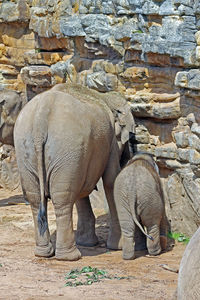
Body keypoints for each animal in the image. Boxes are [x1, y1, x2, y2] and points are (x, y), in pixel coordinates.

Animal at [14, 84, 134, 260]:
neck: (103, 97)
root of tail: (41, 117)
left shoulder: (81, 157)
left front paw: (87, 243)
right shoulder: (110, 141)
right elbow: (111, 180)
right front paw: (117, 247)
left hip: (28, 149)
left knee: (36, 198)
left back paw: (44, 253)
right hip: (66, 146)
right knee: (62, 199)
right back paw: (70, 256)